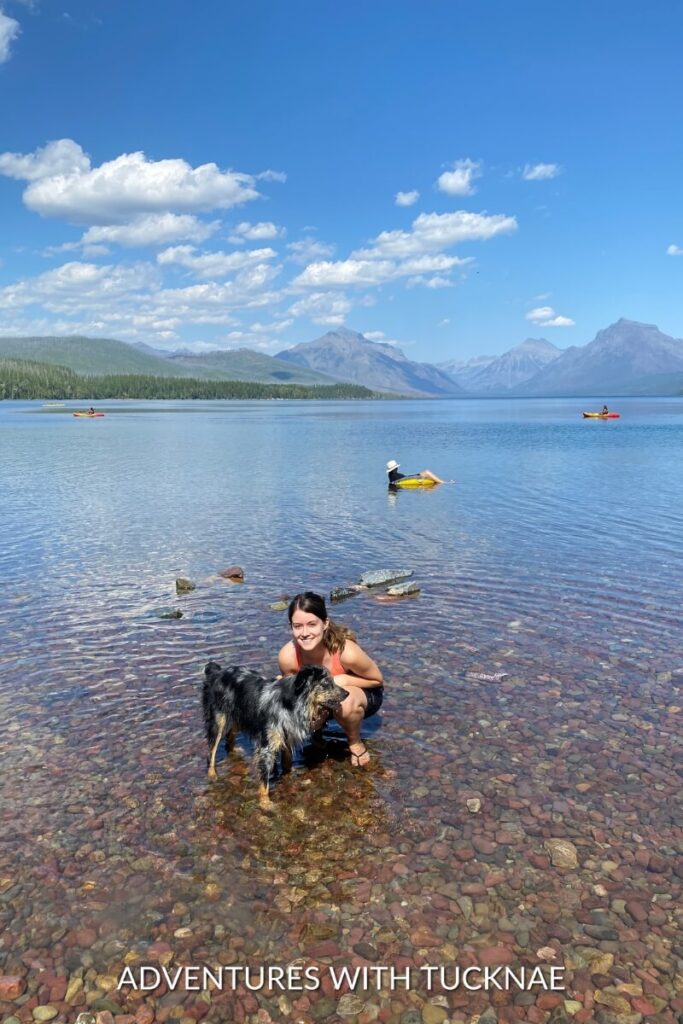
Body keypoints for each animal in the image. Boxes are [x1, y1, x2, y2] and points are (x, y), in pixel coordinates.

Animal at [200, 663, 344, 806]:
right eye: (326, 682)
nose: (347, 693)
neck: (291, 704)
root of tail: (216, 672)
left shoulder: (287, 738)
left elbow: (287, 764)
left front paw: (289, 779)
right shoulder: (266, 748)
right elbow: (264, 781)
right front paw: (265, 803)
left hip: (237, 716)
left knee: (229, 739)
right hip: (218, 720)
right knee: (211, 752)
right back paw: (212, 774)